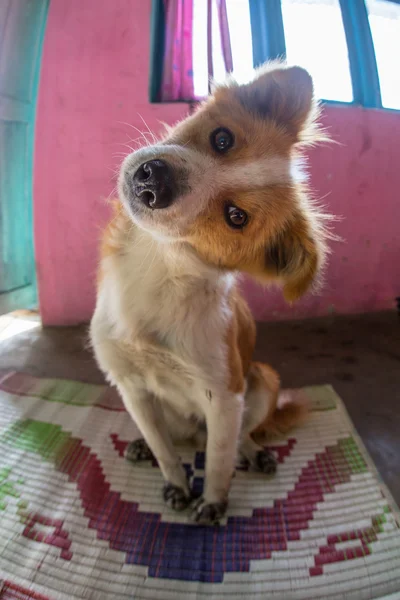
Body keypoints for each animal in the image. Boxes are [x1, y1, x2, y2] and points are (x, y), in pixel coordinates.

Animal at [90, 62, 328, 524]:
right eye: (222, 138)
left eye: (236, 217)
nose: (154, 180)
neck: (157, 267)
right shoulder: (130, 385)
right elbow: (166, 450)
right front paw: (177, 484)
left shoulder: (224, 394)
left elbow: (218, 459)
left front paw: (213, 504)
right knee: (174, 438)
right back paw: (143, 445)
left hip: (262, 378)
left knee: (236, 438)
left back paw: (254, 453)